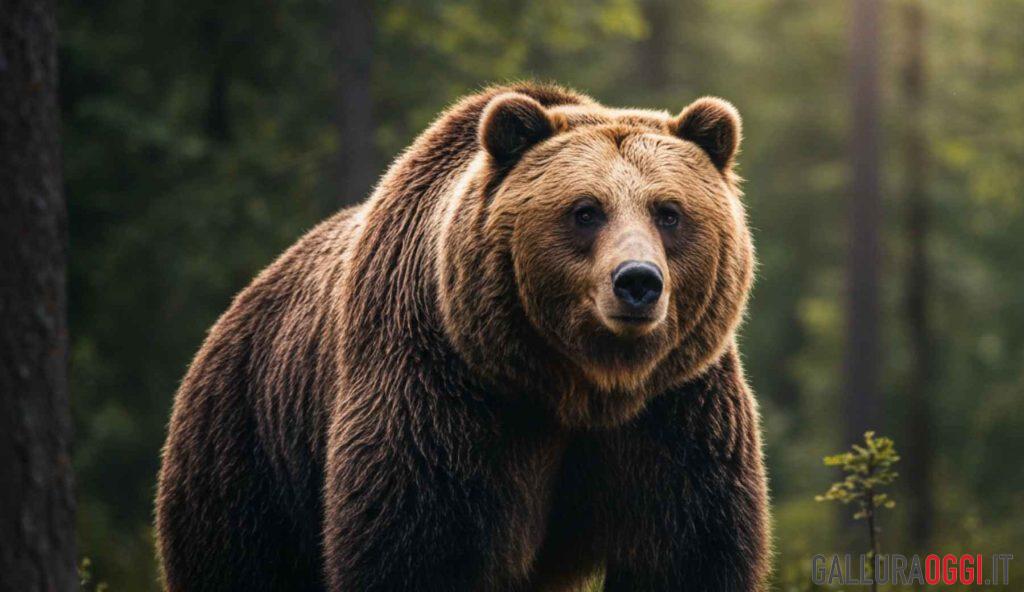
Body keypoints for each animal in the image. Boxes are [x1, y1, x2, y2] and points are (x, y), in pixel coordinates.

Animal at [156, 82, 769, 592]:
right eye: (585, 210)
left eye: (669, 212)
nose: (638, 281)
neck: (581, 385)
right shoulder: (445, 395)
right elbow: (419, 543)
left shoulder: (676, 411)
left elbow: (687, 550)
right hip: (250, 450)